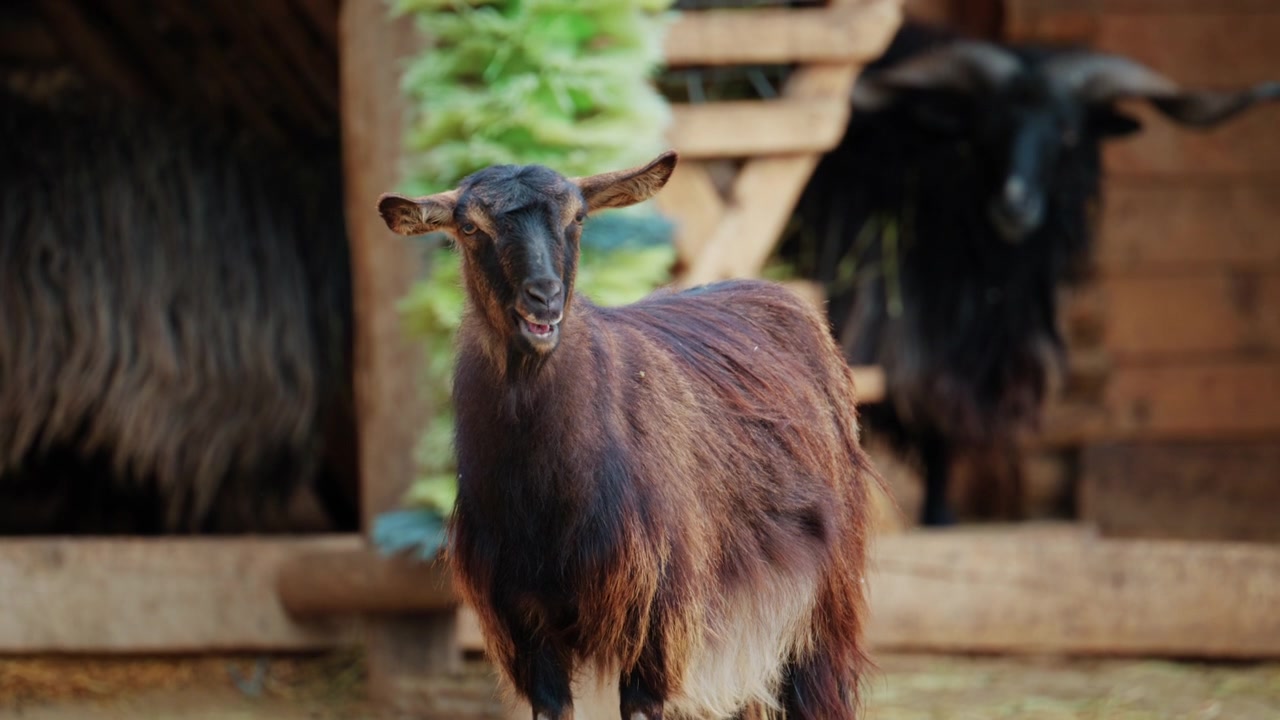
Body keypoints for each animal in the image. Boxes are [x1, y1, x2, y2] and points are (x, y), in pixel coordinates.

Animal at [378, 151, 877, 720]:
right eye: (469, 227)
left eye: (577, 218)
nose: (544, 297)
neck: (545, 504)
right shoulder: (523, 619)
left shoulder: (655, 613)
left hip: (824, 603)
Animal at [782, 23, 1280, 525]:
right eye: (984, 126)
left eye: (1068, 130)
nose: (1014, 203)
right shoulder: (902, 328)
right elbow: (925, 420)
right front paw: (936, 517)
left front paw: (940, 514)